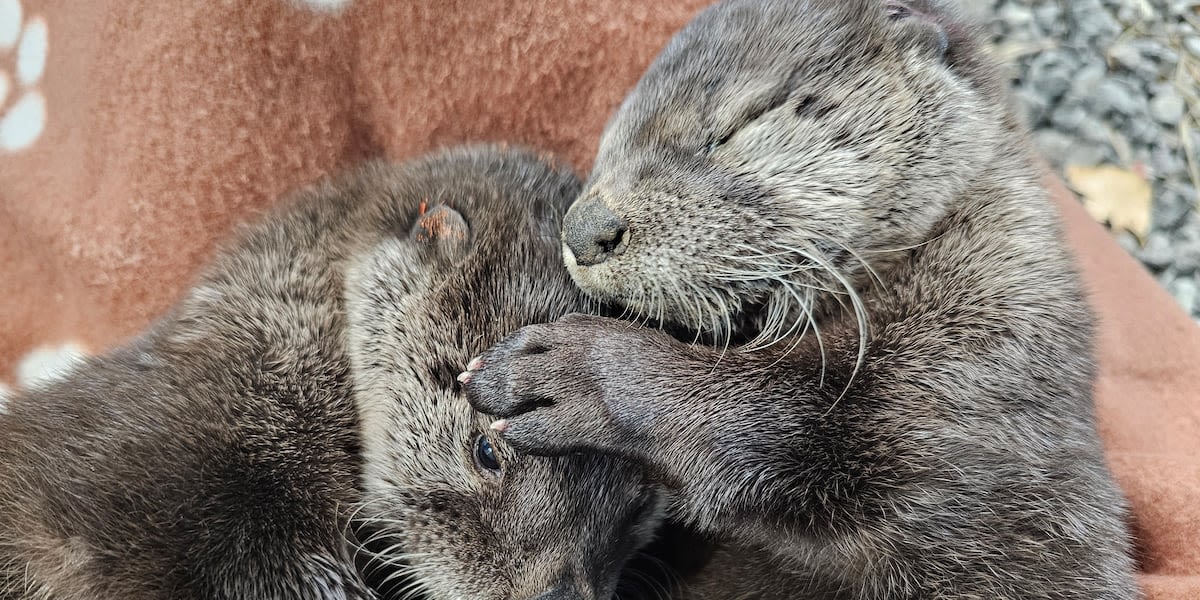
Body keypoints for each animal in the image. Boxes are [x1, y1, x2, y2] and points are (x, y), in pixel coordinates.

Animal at [463, 2, 1137, 597]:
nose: (583, 230)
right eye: (602, 154)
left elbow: (802, 424)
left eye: (735, 127)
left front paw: (569, 372)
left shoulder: (977, 374)